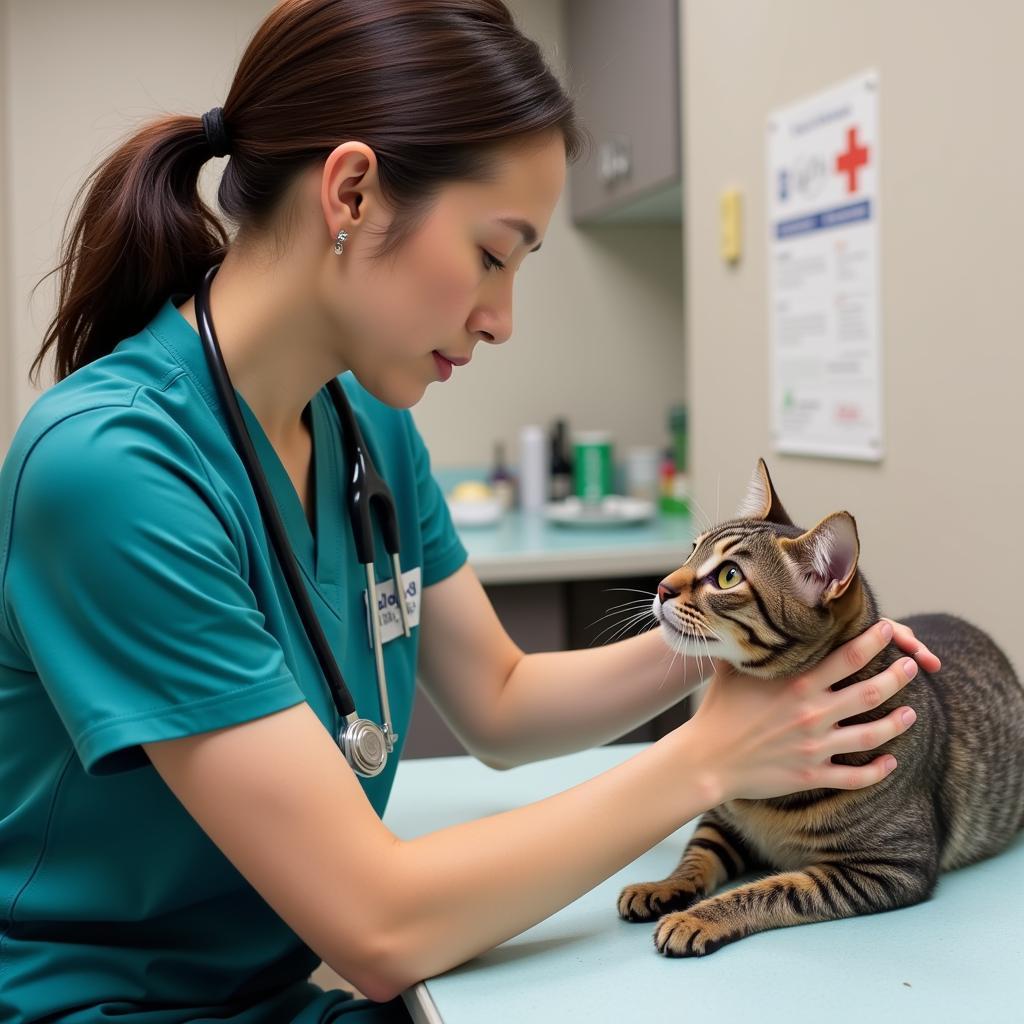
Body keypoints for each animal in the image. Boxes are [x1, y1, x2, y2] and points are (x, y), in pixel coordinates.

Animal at [614, 460, 1024, 954]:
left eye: (728, 576)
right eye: (692, 551)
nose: (660, 587)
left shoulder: (891, 865)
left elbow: (773, 890)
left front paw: (698, 917)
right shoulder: (722, 820)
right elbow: (697, 856)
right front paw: (662, 887)